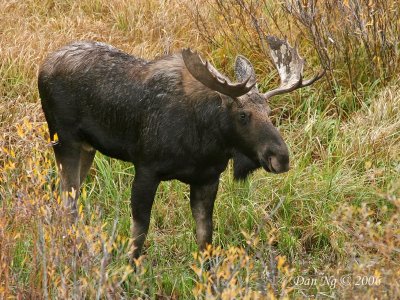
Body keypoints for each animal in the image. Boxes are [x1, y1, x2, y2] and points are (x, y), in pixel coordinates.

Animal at [38, 36, 324, 258]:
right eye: (243, 115)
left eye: (269, 111)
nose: (281, 157)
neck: (204, 144)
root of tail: (42, 67)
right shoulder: (146, 169)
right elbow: (139, 233)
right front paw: (129, 273)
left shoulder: (207, 179)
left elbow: (205, 237)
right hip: (64, 139)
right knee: (67, 196)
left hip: (87, 147)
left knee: (70, 194)